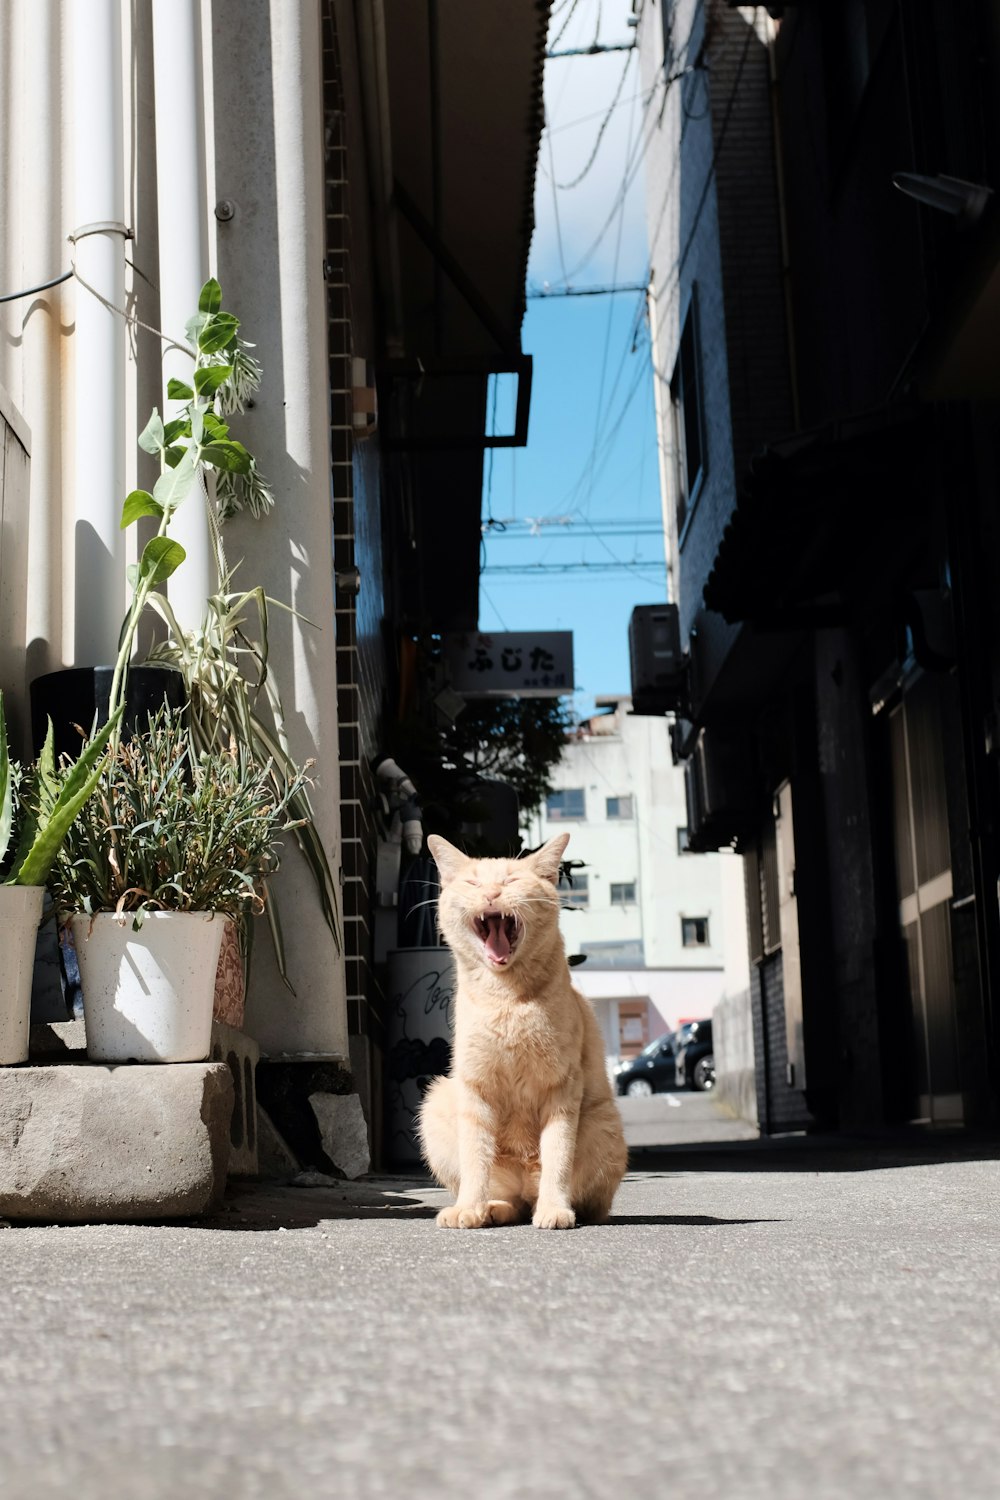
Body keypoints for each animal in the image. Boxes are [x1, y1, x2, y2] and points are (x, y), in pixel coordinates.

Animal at [419, 834, 626, 1230]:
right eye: (474, 883)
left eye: (511, 880)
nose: (491, 894)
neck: (506, 999)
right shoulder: (474, 1086)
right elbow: (474, 1158)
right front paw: (469, 1207)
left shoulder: (563, 1086)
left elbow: (558, 1156)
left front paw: (555, 1209)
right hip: (436, 1102)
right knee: (512, 1201)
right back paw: (491, 1208)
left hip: (603, 1126)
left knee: (579, 1202)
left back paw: (551, 1206)